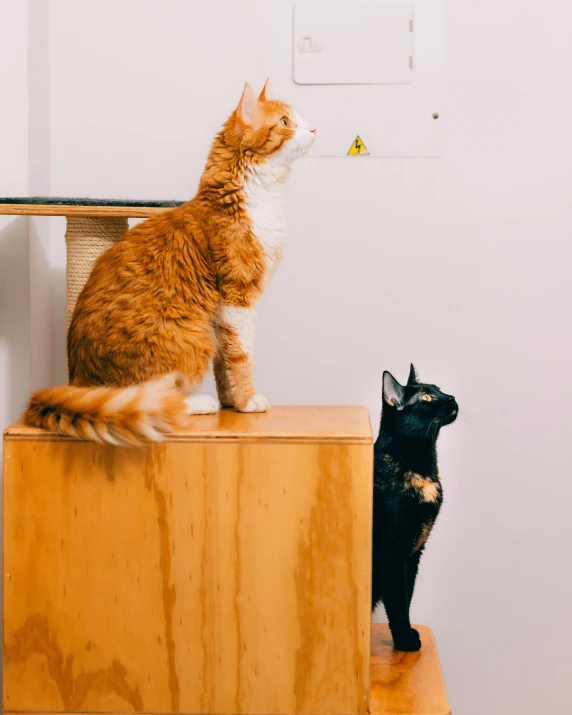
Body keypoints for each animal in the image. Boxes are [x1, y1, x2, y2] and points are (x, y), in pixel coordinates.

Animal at [23, 81, 318, 444]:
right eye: (286, 122)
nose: (314, 129)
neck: (254, 198)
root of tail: (78, 383)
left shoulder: (220, 312)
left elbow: (224, 362)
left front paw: (230, 401)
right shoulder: (238, 295)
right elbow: (241, 355)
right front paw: (248, 401)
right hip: (190, 336)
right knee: (152, 396)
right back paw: (196, 402)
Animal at [374, 366, 458, 652]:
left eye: (439, 389)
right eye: (426, 398)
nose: (452, 397)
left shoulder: (413, 554)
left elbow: (407, 595)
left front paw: (408, 633)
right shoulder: (393, 553)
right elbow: (398, 601)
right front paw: (405, 641)